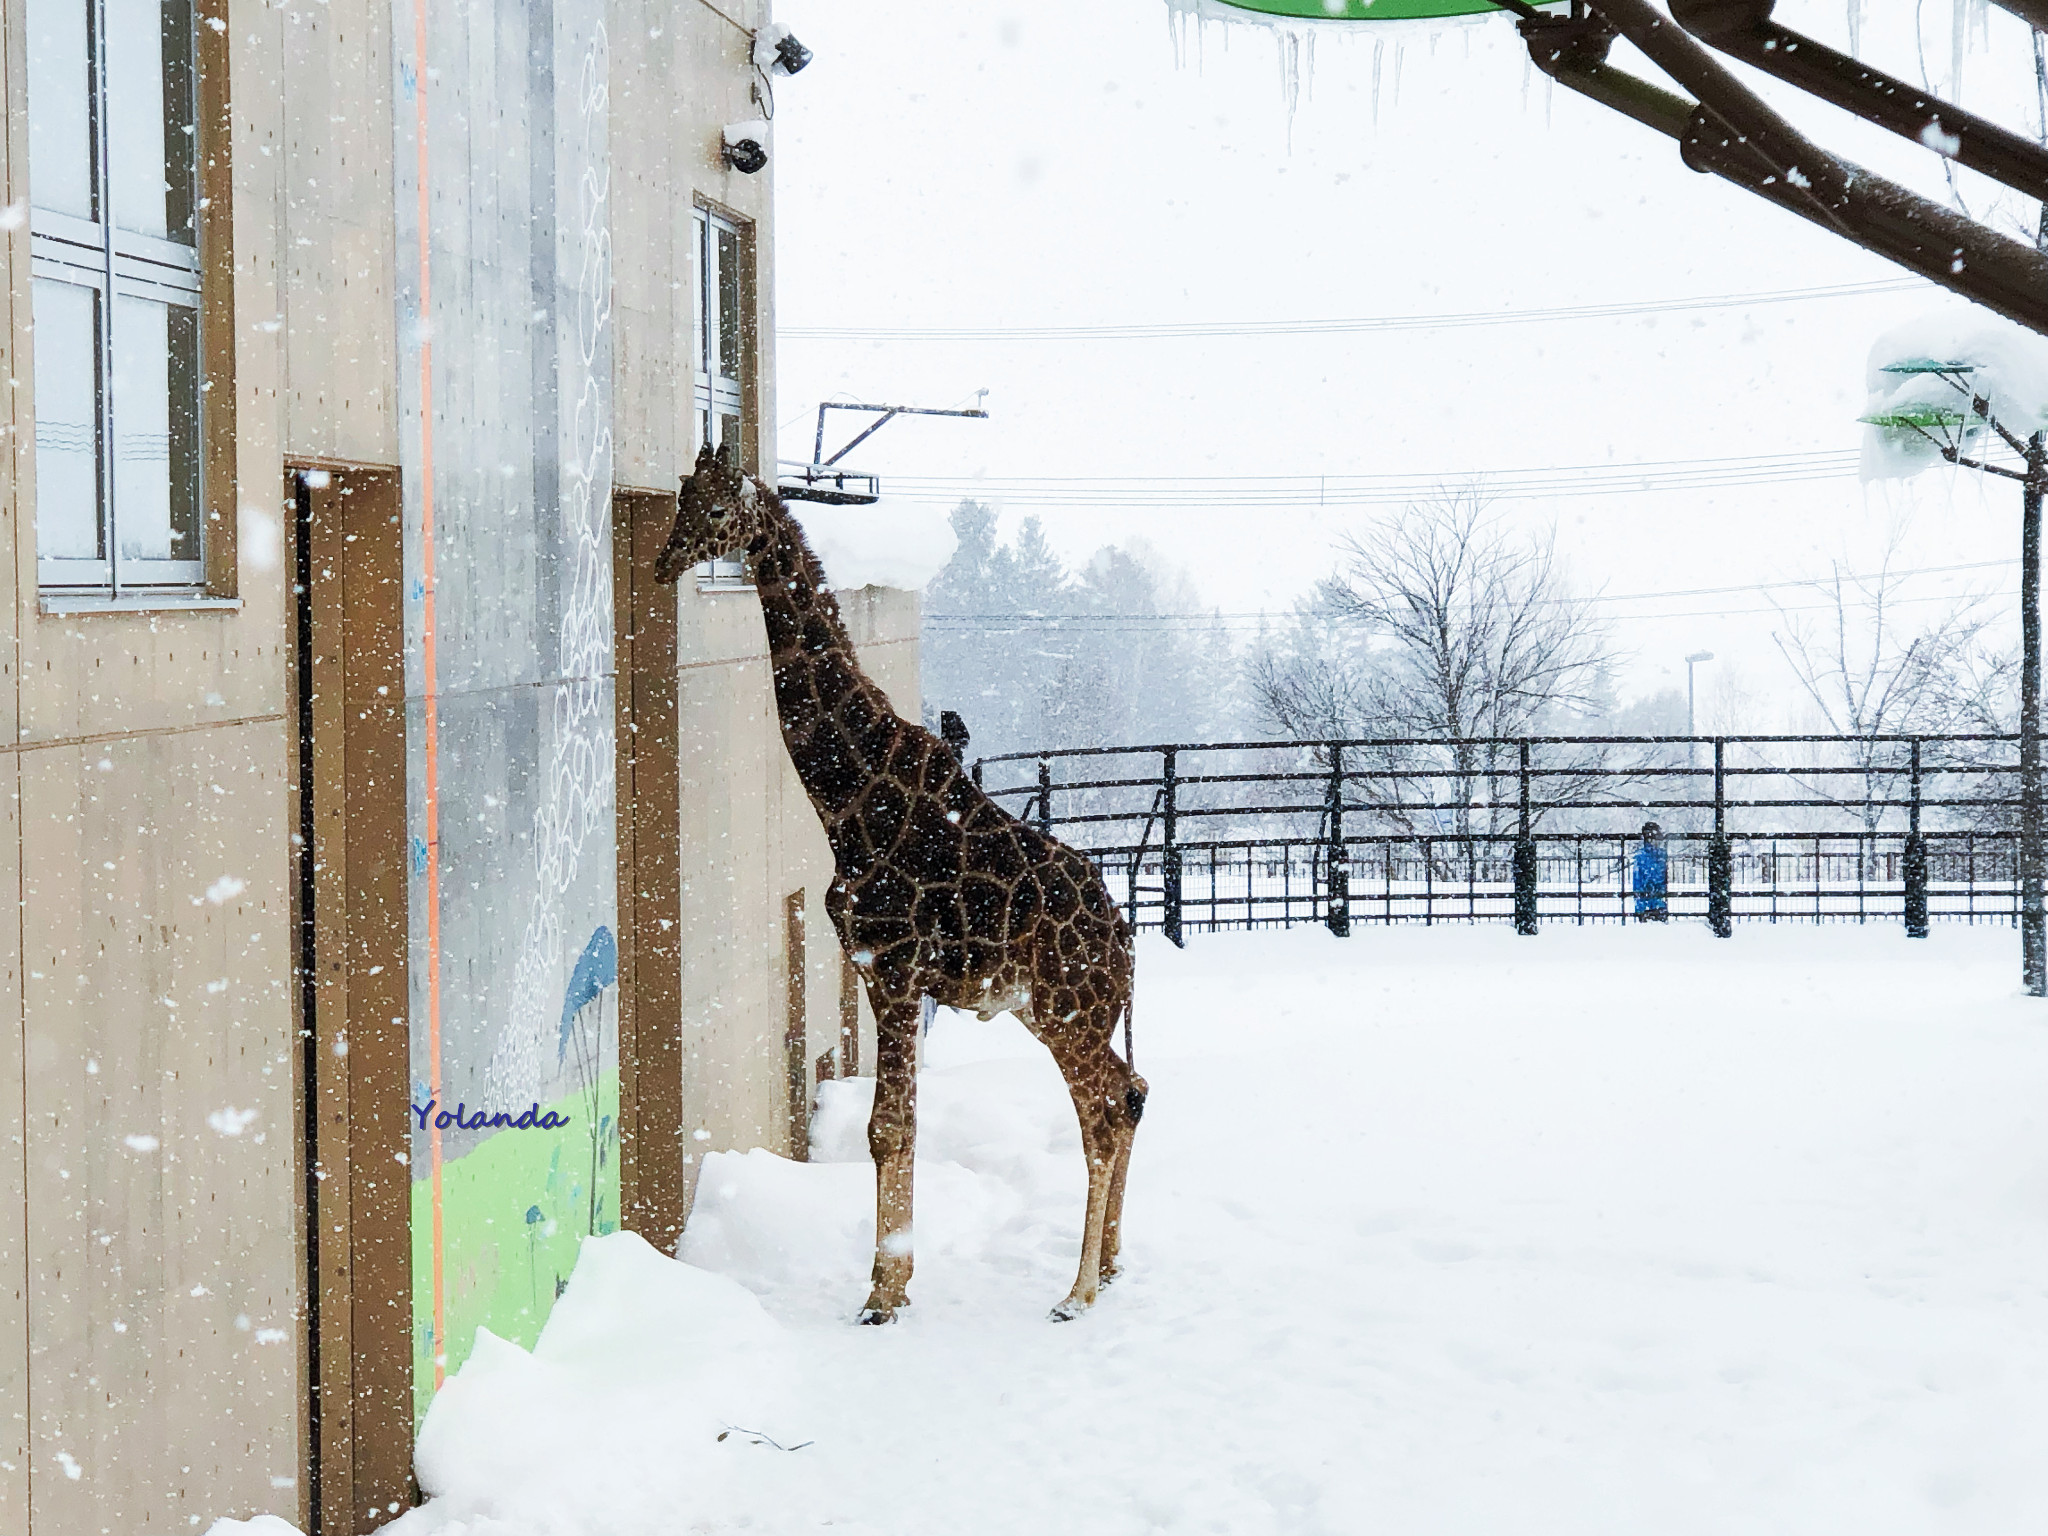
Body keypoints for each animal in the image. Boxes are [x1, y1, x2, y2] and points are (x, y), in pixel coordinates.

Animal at [655, 442, 1146, 1327]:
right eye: (680, 498)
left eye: (713, 509)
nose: (663, 561)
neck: (848, 797)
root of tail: (1125, 938)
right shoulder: (876, 971)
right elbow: (895, 1126)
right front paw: (896, 1282)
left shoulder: (892, 969)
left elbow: (889, 1127)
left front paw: (882, 1293)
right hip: (1056, 1012)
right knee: (1131, 1093)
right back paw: (1114, 1264)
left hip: (1069, 1010)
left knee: (1102, 1111)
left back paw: (1078, 1290)